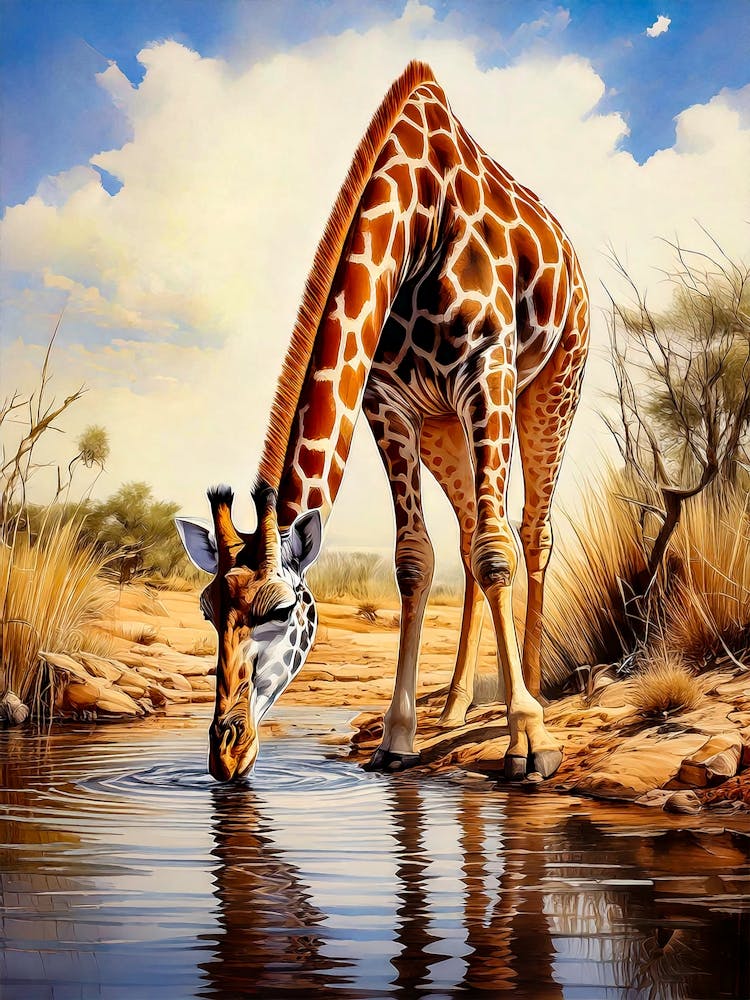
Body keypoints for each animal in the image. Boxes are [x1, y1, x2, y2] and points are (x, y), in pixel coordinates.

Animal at [176, 60, 589, 783]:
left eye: (280, 608)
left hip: (551, 386)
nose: (225, 752)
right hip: (445, 426)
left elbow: (496, 551)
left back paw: (535, 695)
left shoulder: (488, 369)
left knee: (529, 533)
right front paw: (398, 740)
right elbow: (415, 560)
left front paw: (531, 740)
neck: (416, 222)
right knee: (472, 535)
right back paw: (455, 706)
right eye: (207, 609)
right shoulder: (388, 402)